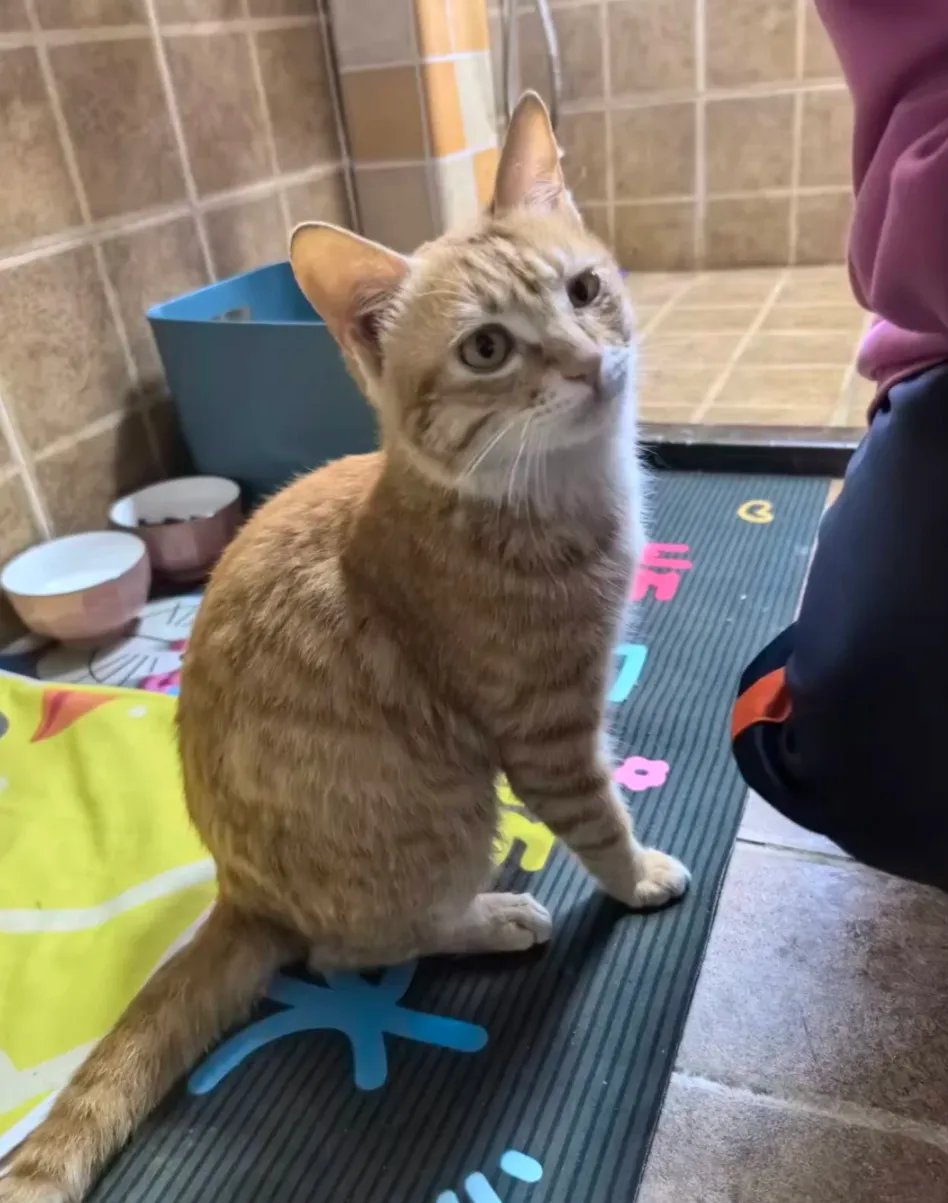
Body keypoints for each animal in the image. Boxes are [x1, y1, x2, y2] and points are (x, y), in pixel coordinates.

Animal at [0, 92, 689, 1203]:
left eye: (586, 291)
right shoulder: (547, 734)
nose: (591, 364)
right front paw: (637, 876)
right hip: (444, 814)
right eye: (487, 350)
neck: (554, 495)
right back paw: (493, 916)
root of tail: (238, 892)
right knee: (342, 952)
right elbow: (599, 819)